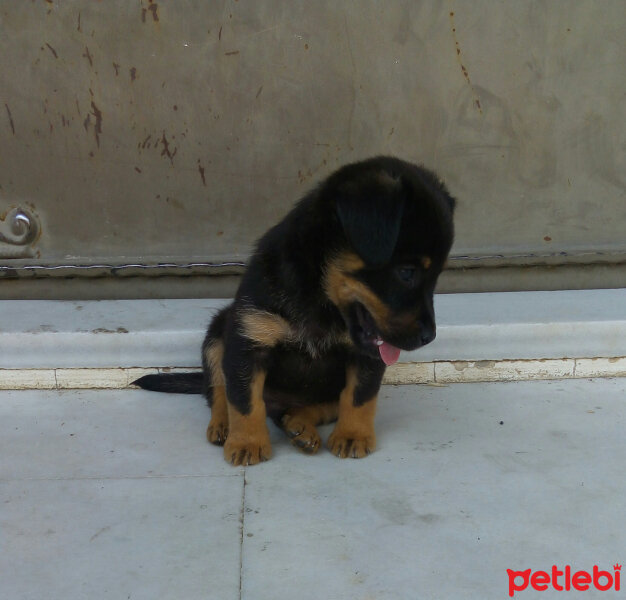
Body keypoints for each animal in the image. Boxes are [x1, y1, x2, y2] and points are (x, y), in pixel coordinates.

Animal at [134, 155, 454, 464]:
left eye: (437, 276)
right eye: (407, 272)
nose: (430, 337)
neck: (320, 302)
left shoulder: (366, 356)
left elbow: (359, 396)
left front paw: (352, 435)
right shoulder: (247, 340)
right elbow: (244, 400)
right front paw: (247, 442)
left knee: (315, 406)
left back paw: (300, 427)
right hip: (217, 332)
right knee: (218, 390)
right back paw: (224, 425)